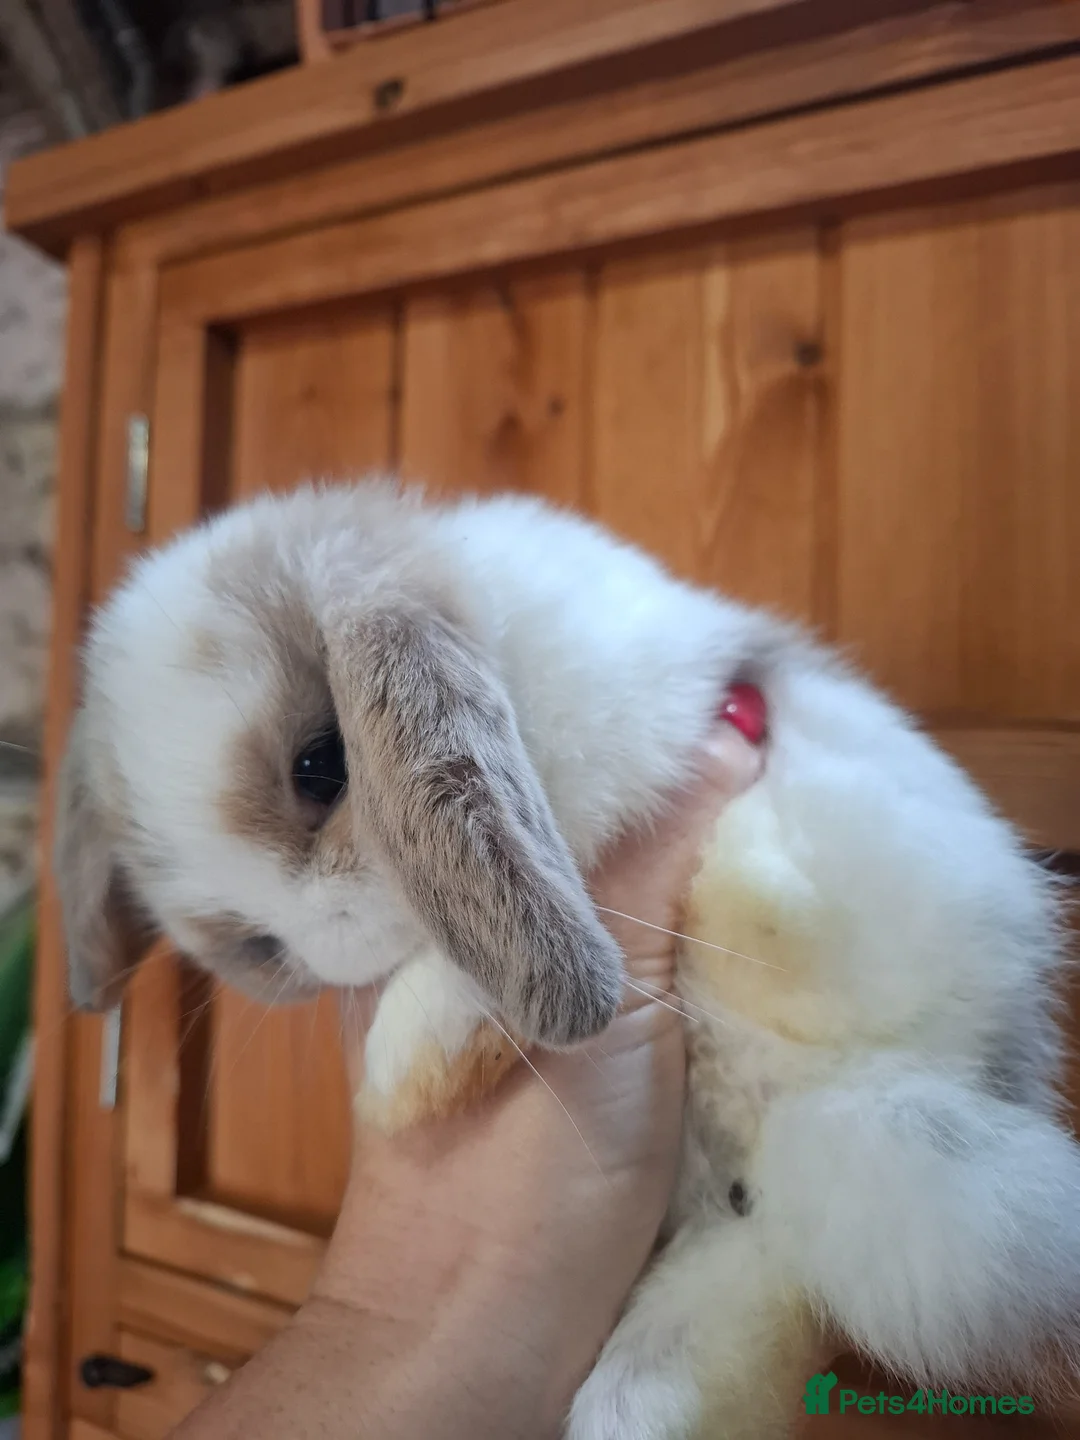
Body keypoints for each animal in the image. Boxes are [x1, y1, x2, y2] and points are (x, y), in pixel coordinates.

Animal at [55, 477, 1080, 1439]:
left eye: (322, 765)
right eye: (255, 943)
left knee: (809, 930)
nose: (332, 945)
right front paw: (403, 1077)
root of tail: (825, 1118)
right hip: (728, 1265)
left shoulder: (615, 758)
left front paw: (398, 1068)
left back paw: (752, 896)